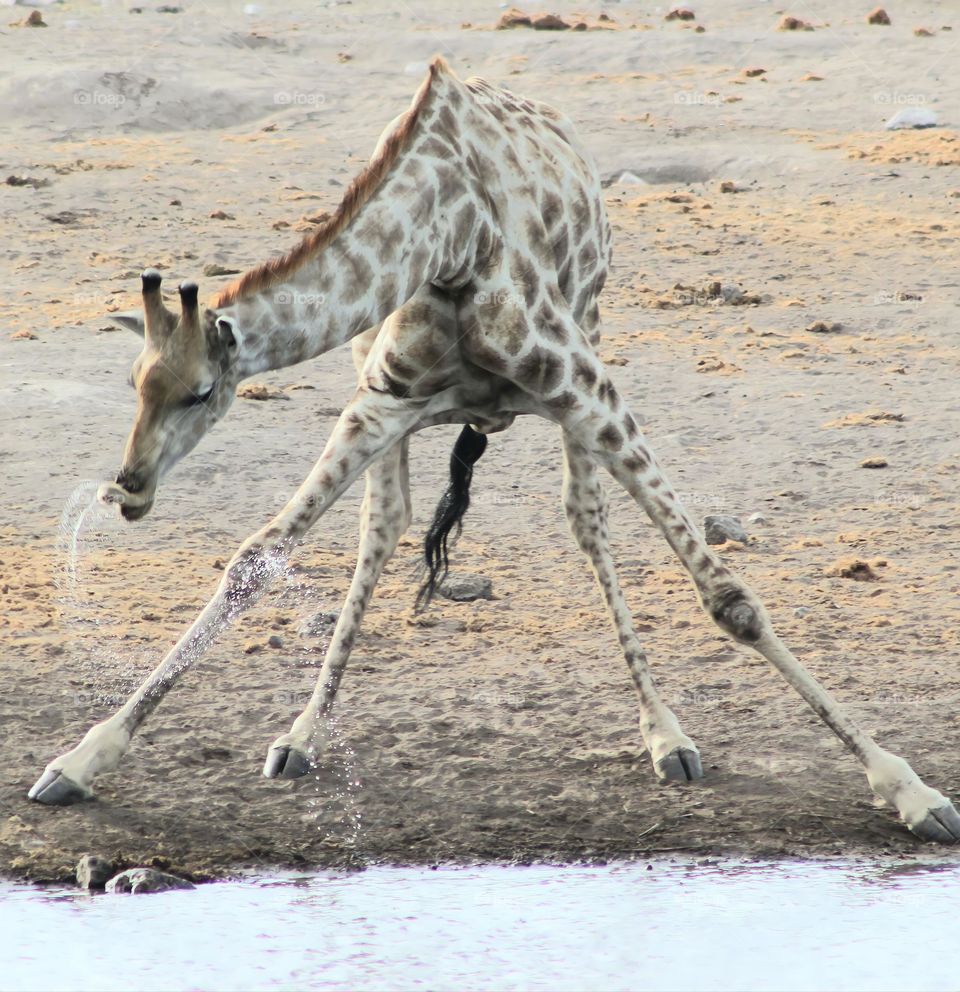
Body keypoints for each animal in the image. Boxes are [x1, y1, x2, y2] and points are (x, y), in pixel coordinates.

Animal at [29, 58, 959, 843]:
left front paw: (910, 789)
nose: (129, 487)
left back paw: (667, 737)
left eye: (197, 392)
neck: (447, 232)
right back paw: (302, 734)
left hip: (590, 336)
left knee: (587, 523)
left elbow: (727, 597)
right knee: (387, 526)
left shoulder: (580, 382)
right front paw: (78, 760)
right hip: (386, 385)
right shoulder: (382, 399)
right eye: (134, 382)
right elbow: (256, 558)